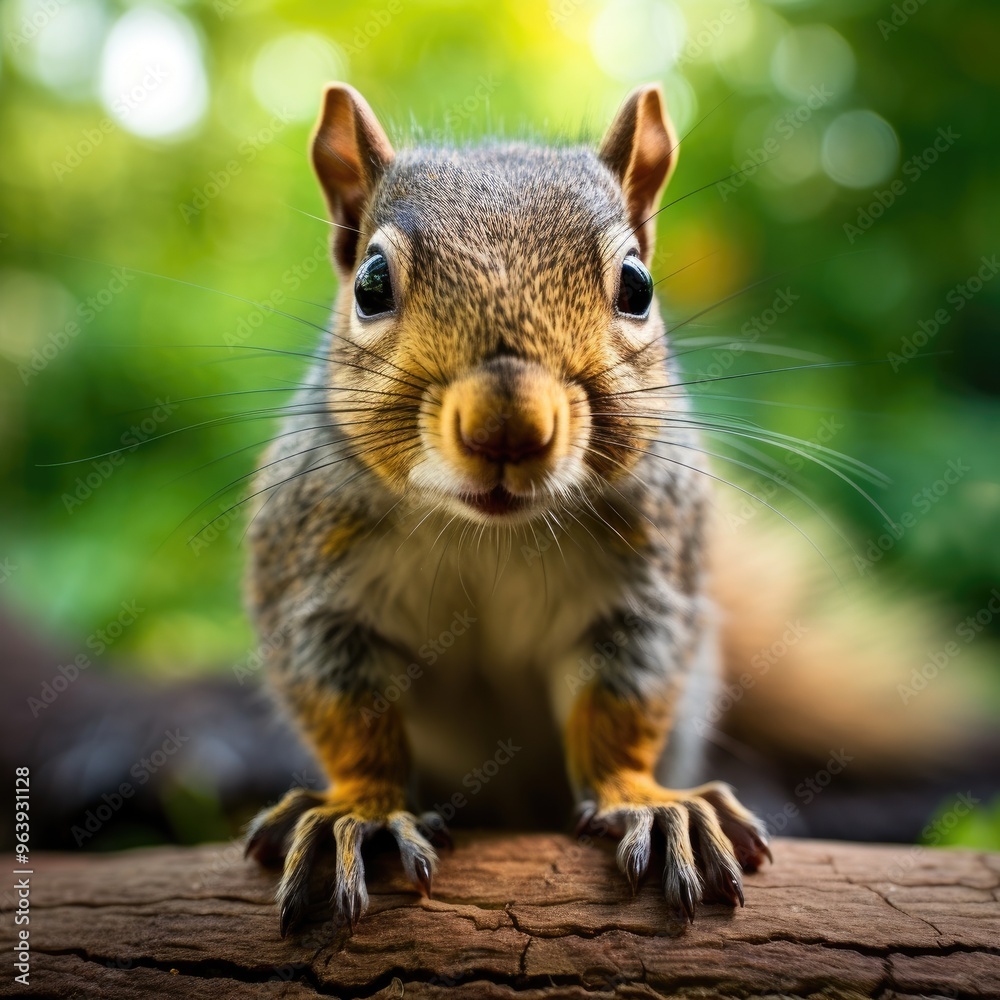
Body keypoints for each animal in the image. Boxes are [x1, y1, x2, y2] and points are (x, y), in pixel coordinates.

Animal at [244, 80, 774, 935]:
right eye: (369, 284)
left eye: (637, 286)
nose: (508, 426)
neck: (488, 535)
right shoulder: (314, 576)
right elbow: (348, 707)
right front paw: (359, 811)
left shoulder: (646, 585)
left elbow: (623, 703)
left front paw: (646, 801)